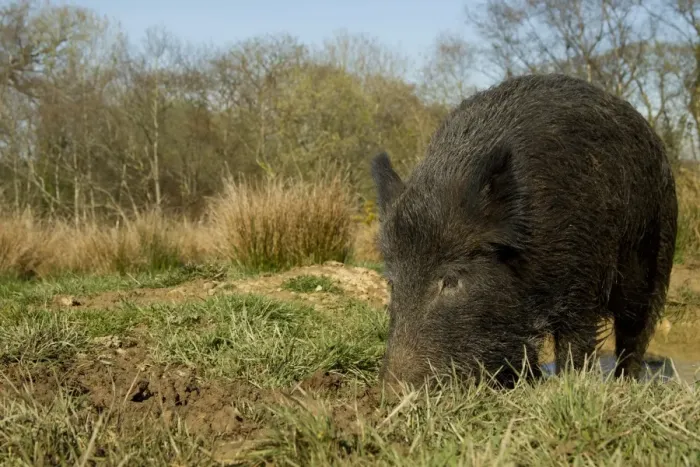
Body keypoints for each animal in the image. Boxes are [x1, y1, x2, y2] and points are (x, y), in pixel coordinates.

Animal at [371, 73, 678, 388]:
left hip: (656, 253)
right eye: (392, 282)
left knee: (637, 329)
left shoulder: (585, 276)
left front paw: (566, 383)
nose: (390, 391)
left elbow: (575, 342)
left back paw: (624, 382)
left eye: (451, 280)